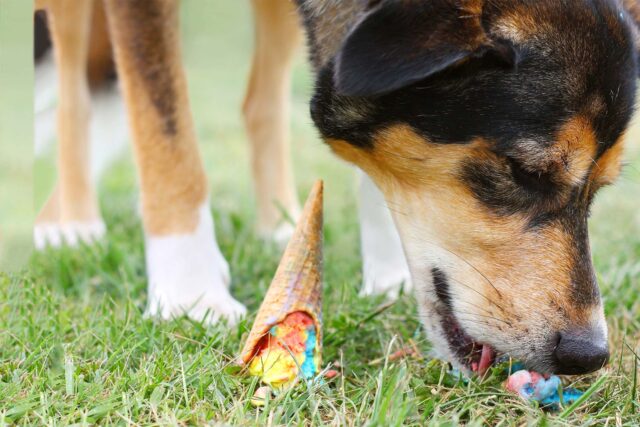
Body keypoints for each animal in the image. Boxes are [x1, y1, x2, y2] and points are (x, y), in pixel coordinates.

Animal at [33, 0, 640, 376]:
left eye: (601, 188)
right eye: (525, 170)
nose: (588, 355)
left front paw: (387, 275)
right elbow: (165, 127)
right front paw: (190, 290)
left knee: (258, 100)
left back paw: (278, 225)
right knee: (71, 89)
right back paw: (73, 224)